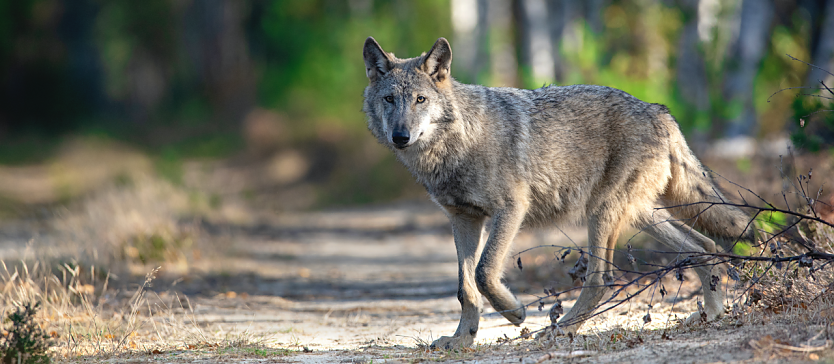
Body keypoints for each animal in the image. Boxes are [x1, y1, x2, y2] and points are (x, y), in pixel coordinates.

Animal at [360, 37, 752, 350]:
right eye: (390, 99)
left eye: (420, 99)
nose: (400, 136)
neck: (459, 143)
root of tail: (660, 111)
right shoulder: (463, 219)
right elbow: (465, 287)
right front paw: (461, 340)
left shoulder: (510, 210)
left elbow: (485, 272)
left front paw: (515, 312)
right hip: (640, 215)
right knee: (704, 246)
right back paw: (713, 313)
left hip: (602, 213)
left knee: (601, 278)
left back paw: (560, 330)